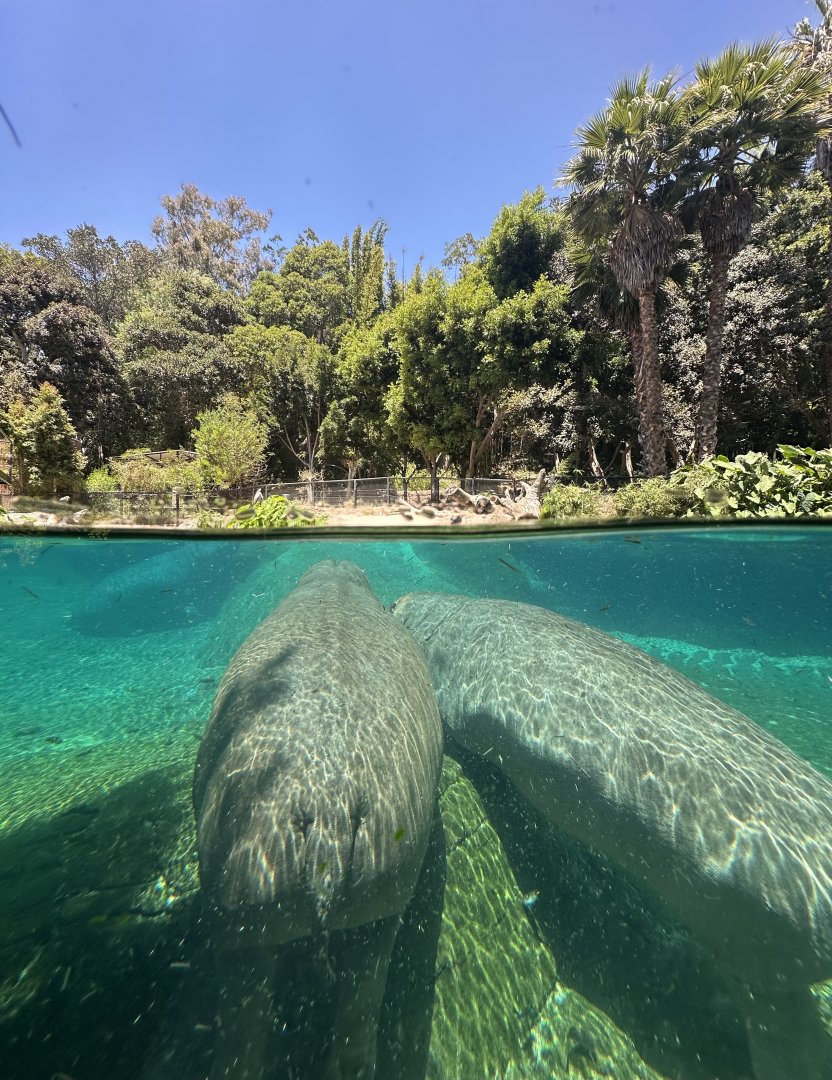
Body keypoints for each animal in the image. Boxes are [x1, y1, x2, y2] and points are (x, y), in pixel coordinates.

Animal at [193, 561, 443, 1080]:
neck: (338, 581)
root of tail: (328, 808)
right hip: (370, 908)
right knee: (352, 1024)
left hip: (248, 929)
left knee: (250, 1038)